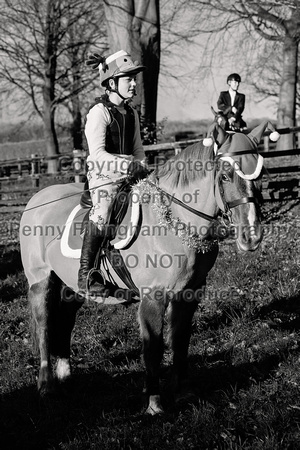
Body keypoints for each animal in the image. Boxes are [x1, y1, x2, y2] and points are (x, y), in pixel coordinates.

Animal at [19, 122, 268, 414]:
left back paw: (65, 375)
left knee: (66, 321)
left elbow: (180, 340)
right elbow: (153, 347)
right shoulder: (153, 297)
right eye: (226, 176)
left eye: (260, 173)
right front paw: (153, 403)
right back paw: (47, 386)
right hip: (40, 280)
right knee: (44, 325)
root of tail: (37, 199)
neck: (174, 222)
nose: (251, 236)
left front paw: (182, 392)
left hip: (72, 286)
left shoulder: (189, 294)